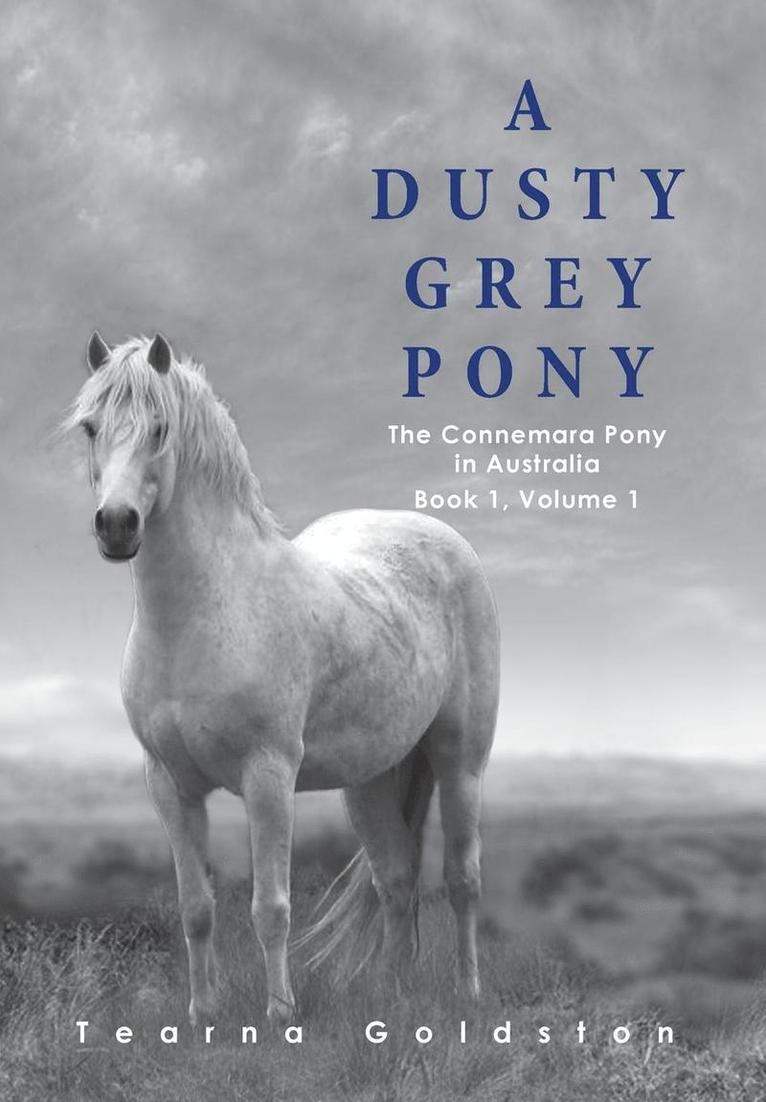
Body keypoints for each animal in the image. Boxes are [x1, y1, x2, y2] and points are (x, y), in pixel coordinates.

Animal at [64, 331, 499, 1025]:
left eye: (160, 427)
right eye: (90, 427)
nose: (117, 525)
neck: (206, 610)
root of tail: (445, 539)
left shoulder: (267, 777)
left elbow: (270, 908)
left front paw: (279, 1014)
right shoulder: (170, 785)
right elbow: (196, 908)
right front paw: (202, 1014)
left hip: (460, 763)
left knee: (462, 879)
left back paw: (468, 993)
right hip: (370, 780)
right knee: (396, 879)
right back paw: (393, 994)